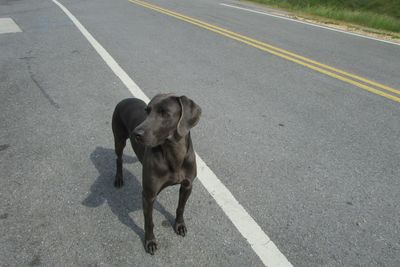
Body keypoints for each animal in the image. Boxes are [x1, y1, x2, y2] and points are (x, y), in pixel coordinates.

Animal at [111, 94, 202, 255]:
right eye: (147, 111)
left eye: (165, 113)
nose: (136, 133)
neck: (174, 154)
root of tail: (124, 99)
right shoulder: (148, 196)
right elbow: (149, 222)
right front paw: (150, 242)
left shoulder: (187, 186)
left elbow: (181, 208)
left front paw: (179, 225)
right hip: (119, 139)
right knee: (119, 158)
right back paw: (119, 178)